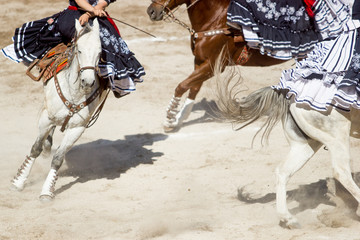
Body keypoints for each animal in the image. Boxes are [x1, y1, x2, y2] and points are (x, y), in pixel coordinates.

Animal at [11, 18, 108, 201]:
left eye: (99, 52)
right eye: (79, 50)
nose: (88, 81)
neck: (75, 94)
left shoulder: (77, 128)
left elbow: (58, 158)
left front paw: (47, 191)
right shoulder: (46, 118)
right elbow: (35, 148)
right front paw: (19, 181)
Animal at [146, 0, 284, 131]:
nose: (151, 11)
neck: (215, 19)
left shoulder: (214, 65)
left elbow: (182, 86)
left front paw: (169, 118)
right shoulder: (200, 61)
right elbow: (194, 87)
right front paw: (177, 120)